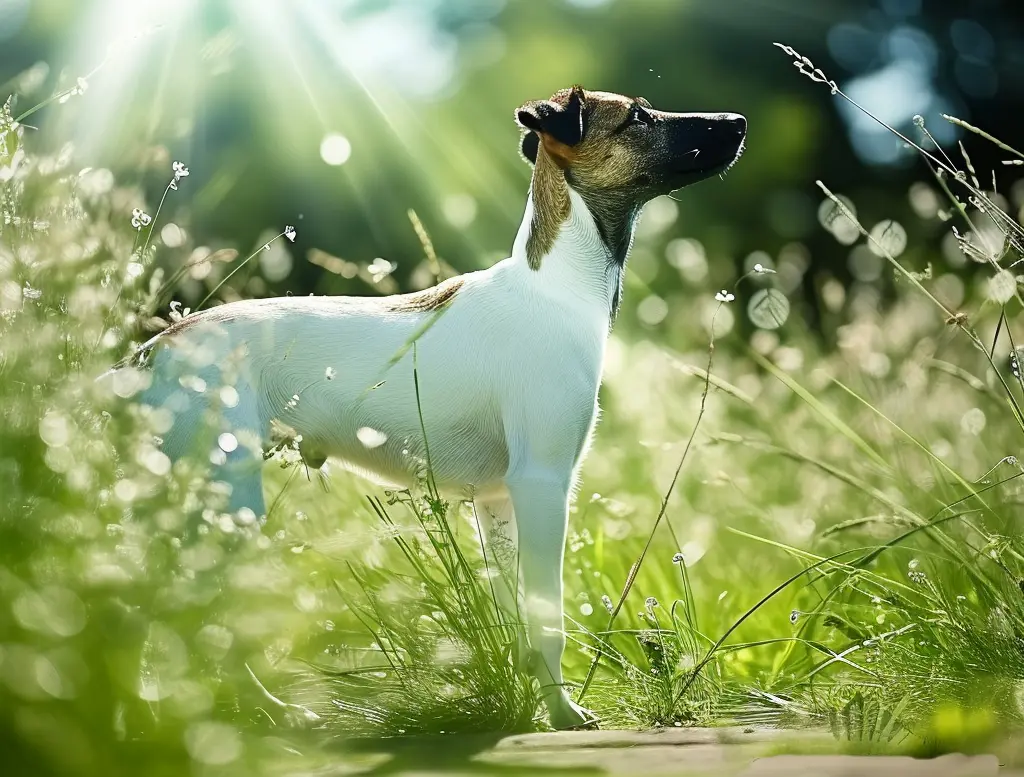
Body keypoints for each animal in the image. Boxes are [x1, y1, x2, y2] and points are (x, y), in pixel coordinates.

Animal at [114, 88, 745, 732]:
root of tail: (151, 352)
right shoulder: (543, 484)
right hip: (224, 501)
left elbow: (515, 618)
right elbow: (547, 619)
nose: (739, 121)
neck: (555, 287)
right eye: (638, 116)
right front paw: (563, 712)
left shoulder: (498, 502)